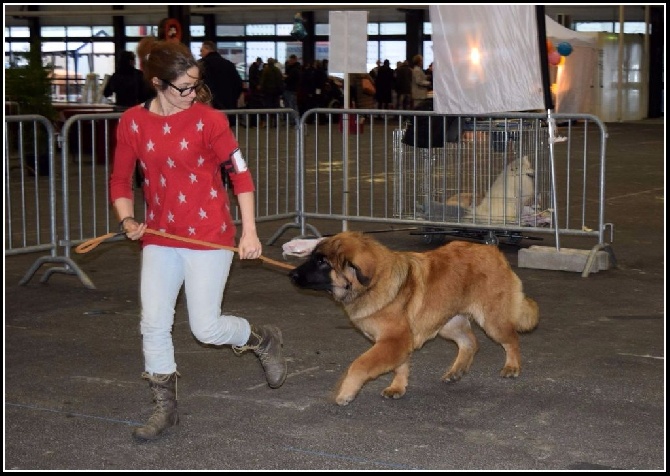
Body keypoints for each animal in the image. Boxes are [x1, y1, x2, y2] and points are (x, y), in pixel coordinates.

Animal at [288, 231, 540, 406]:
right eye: (313, 257)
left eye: (322, 262)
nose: (291, 274)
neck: (373, 283)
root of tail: (494, 251)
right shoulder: (398, 341)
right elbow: (400, 366)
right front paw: (397, 388)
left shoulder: (393, 340)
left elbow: (360, 364)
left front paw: (346, 392)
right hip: (447, 321)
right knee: (470, 342)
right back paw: (455, 372)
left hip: (492, 321)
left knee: (511, 339)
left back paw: (512, 367)